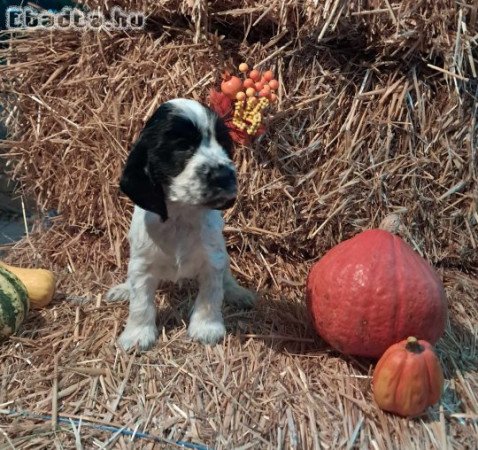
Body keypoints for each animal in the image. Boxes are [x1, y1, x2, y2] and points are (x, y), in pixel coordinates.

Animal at [108, 99, 258, 352]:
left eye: (224, 144)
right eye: (182, 146)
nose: (224, 175)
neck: (181, 216)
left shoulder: (213, 260)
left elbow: (211, 295)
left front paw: (206, 328)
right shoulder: (141, 264)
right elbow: (140, 302)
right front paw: (137, 334)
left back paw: (238, 293)